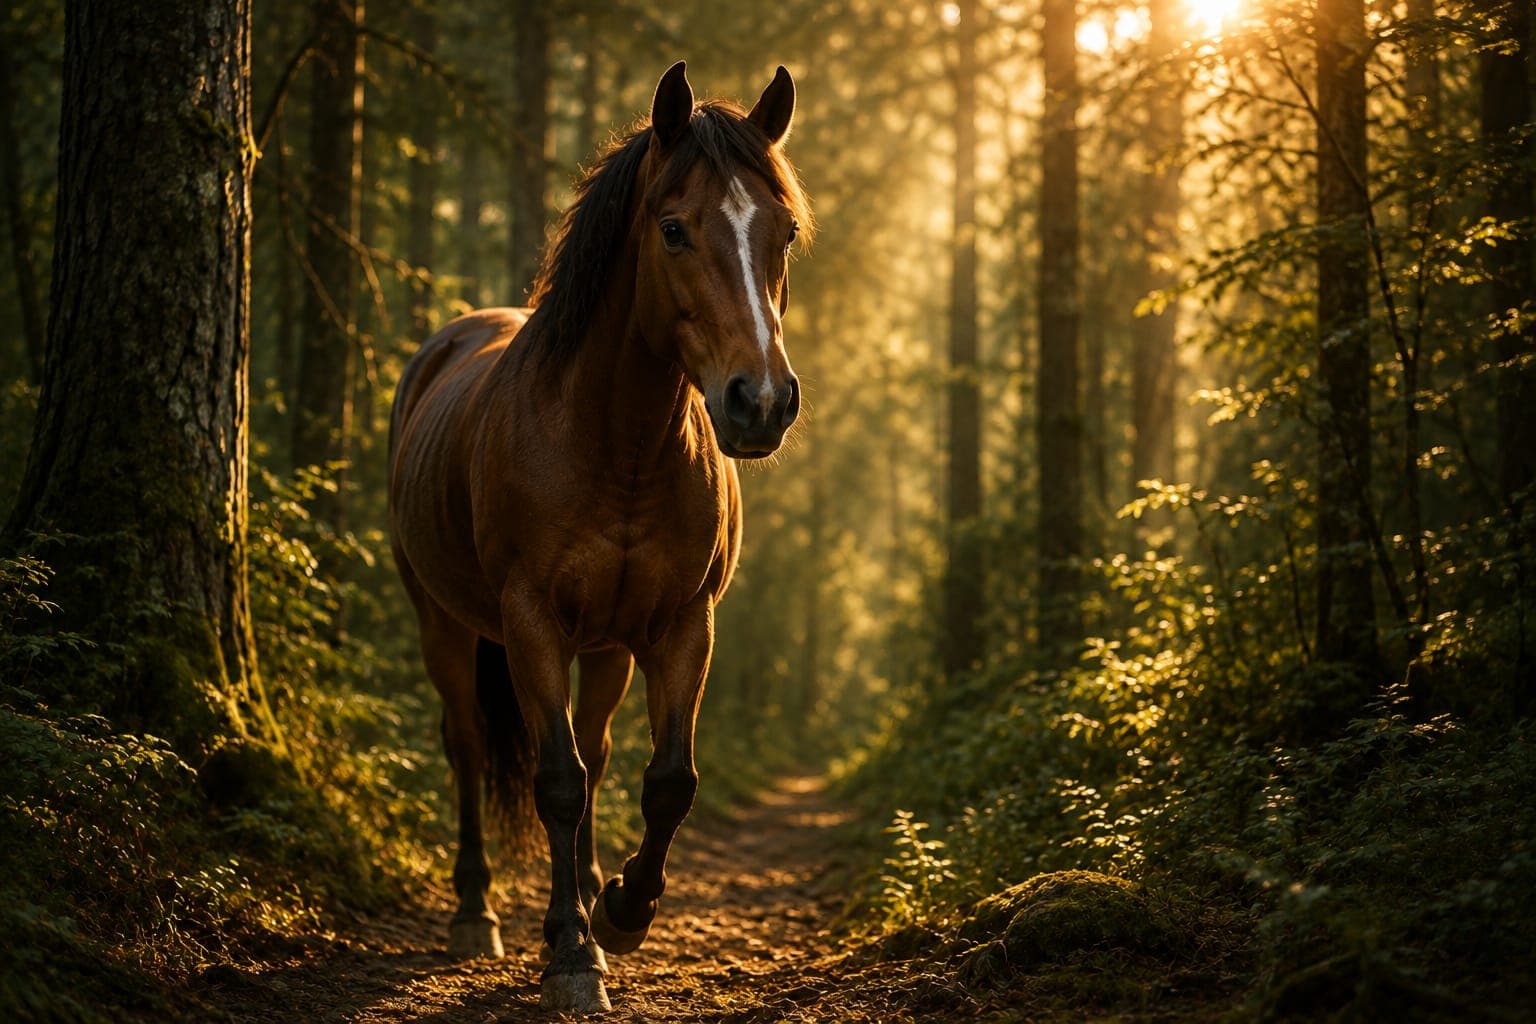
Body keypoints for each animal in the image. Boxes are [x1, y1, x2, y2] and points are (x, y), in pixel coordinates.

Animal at [388, 61, 811, 1014]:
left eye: (787, 231)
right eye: (674, 228)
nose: (761, 402)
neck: (614, 442)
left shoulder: (682, 626)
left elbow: (665, 782)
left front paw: (618, 911)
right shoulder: (531, 624)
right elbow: (556, 781)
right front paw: (574, 954)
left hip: (608, 647)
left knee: (596, 752)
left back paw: (577, 898)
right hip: (443, 624)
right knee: (471, 746)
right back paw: (480, 912)